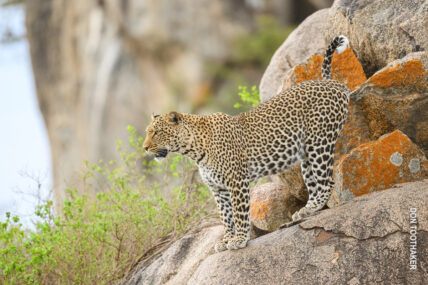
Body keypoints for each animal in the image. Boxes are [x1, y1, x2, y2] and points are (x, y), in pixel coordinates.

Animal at [144, 35, 352, 251]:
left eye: (156, 132)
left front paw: (239, 239)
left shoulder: (237, 182)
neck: (194, 150)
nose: (145, 148)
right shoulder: (218, 189)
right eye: (147, 133)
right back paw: (306, 211)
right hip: (306, 154)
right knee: (314, 183)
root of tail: (332, 83)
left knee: (327, 182)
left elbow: (239, 214)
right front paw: (226, 240)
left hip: (319, 143)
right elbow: (225, 217)